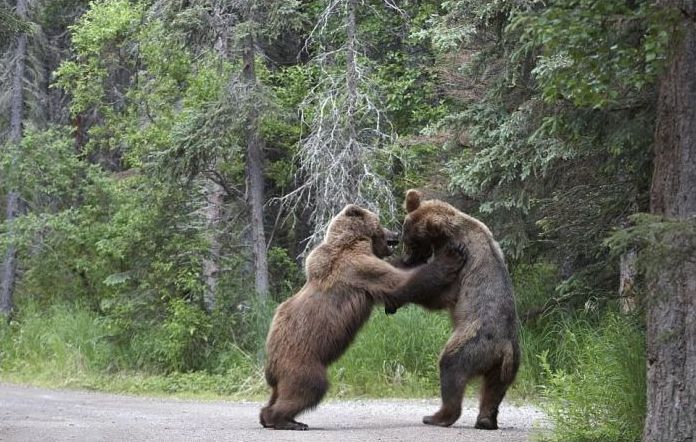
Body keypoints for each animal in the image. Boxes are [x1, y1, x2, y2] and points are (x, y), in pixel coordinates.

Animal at [260, 205, 468, 430]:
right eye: (380, 223)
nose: (395, 233)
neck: (352, 242)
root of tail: (271, 364)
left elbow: (396, 270)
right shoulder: (359, 269)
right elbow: (400, 283)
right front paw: (451, 255)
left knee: (280, 393)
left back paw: (272, 417)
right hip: (302, 359)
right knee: (310, 386)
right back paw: (285, 420)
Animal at [388, 191, 520, 432]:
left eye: (412, 242)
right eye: (406, 240)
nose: (408, 258)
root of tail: (503, 347)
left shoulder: (462, 263)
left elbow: (439, 293)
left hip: (472, 342)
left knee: (451, 367)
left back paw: (436, 416)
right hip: (507, 365)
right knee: (494, 389)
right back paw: (486, 421)